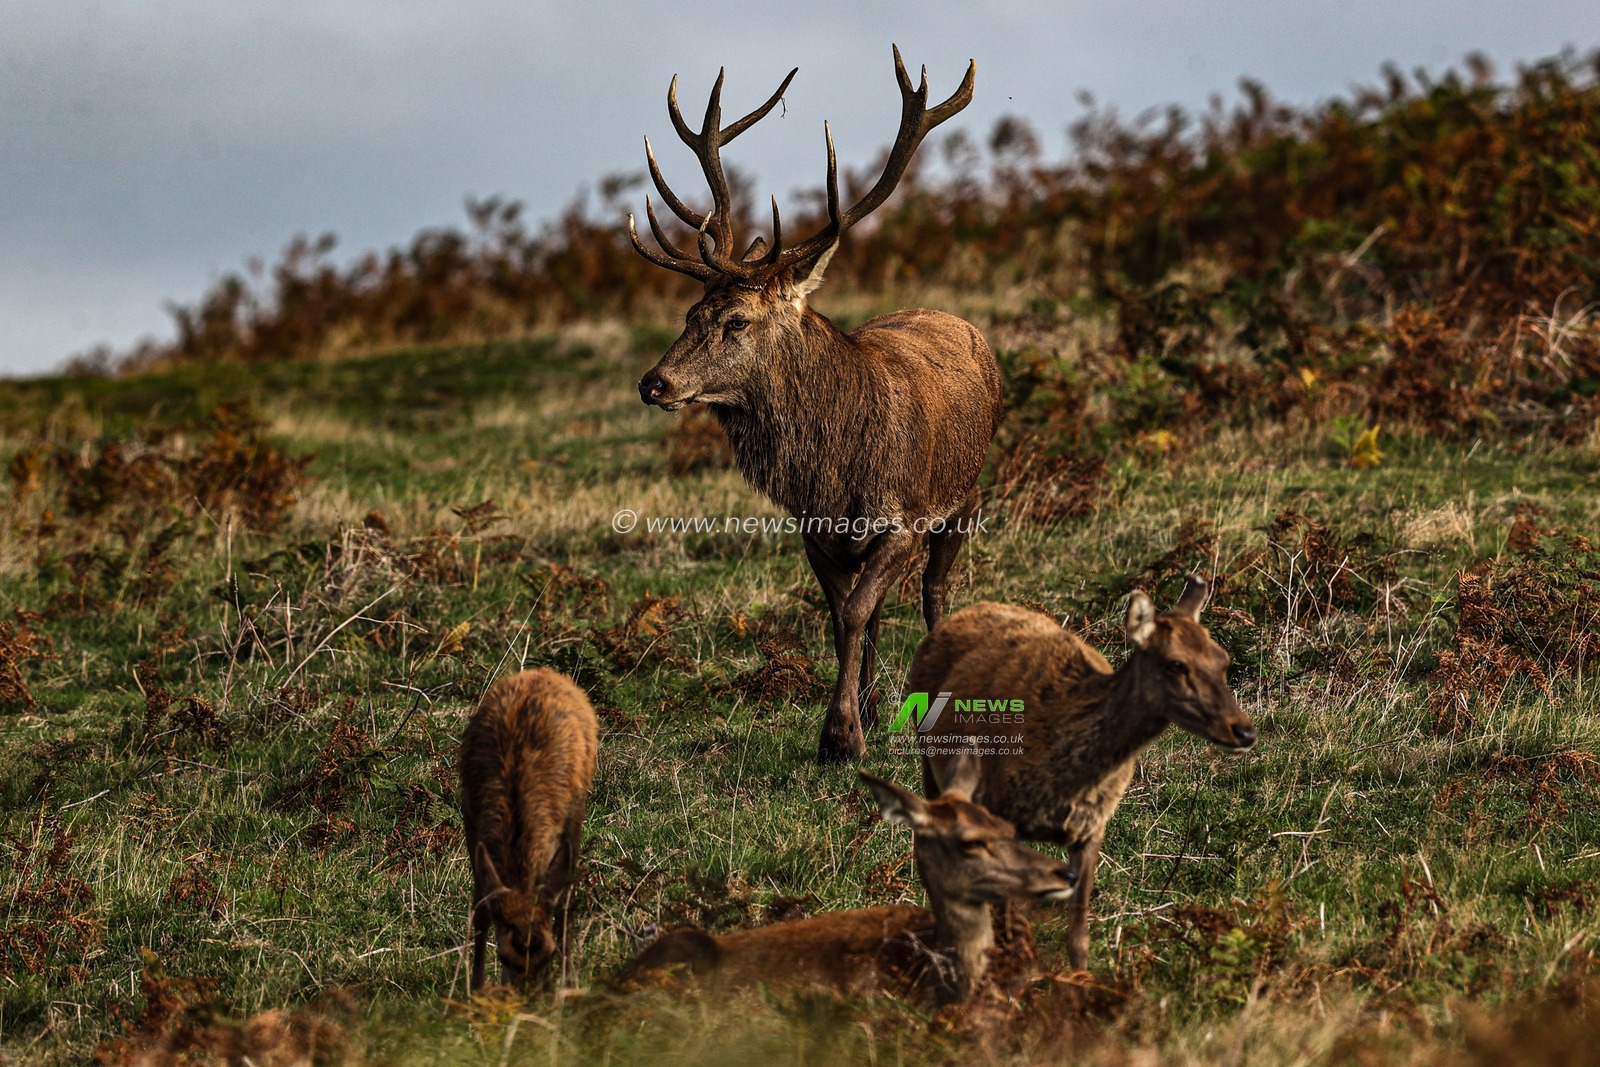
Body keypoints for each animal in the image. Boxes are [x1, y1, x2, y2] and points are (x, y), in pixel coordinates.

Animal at [458, 668, 599, 991]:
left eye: (549, 954)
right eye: (504, 957)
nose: (529, 997)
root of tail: (543, 672)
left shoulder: (571, 819)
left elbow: (564, 903)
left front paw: (564, 982)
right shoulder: (470, 817)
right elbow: (481, 908)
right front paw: (475, 987)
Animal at [628, 46, 1004, 763]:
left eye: (737, 321)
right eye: (690, 313)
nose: (653, 384)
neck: (838, 472)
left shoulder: (903, 516)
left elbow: (855, 611)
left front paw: (839, 737)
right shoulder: (814, 528)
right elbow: (841, 616)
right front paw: (854, 718)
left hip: (964, 493)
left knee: (935, 592)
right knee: (881, 608)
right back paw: (877, 701)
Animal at [911, 576, 1257, 970]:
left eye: (1223, 660)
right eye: (1176, 663)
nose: (1244, 731)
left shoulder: (1092, 825)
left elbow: (1078, 936)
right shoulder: (994, 813)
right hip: (927, 754)